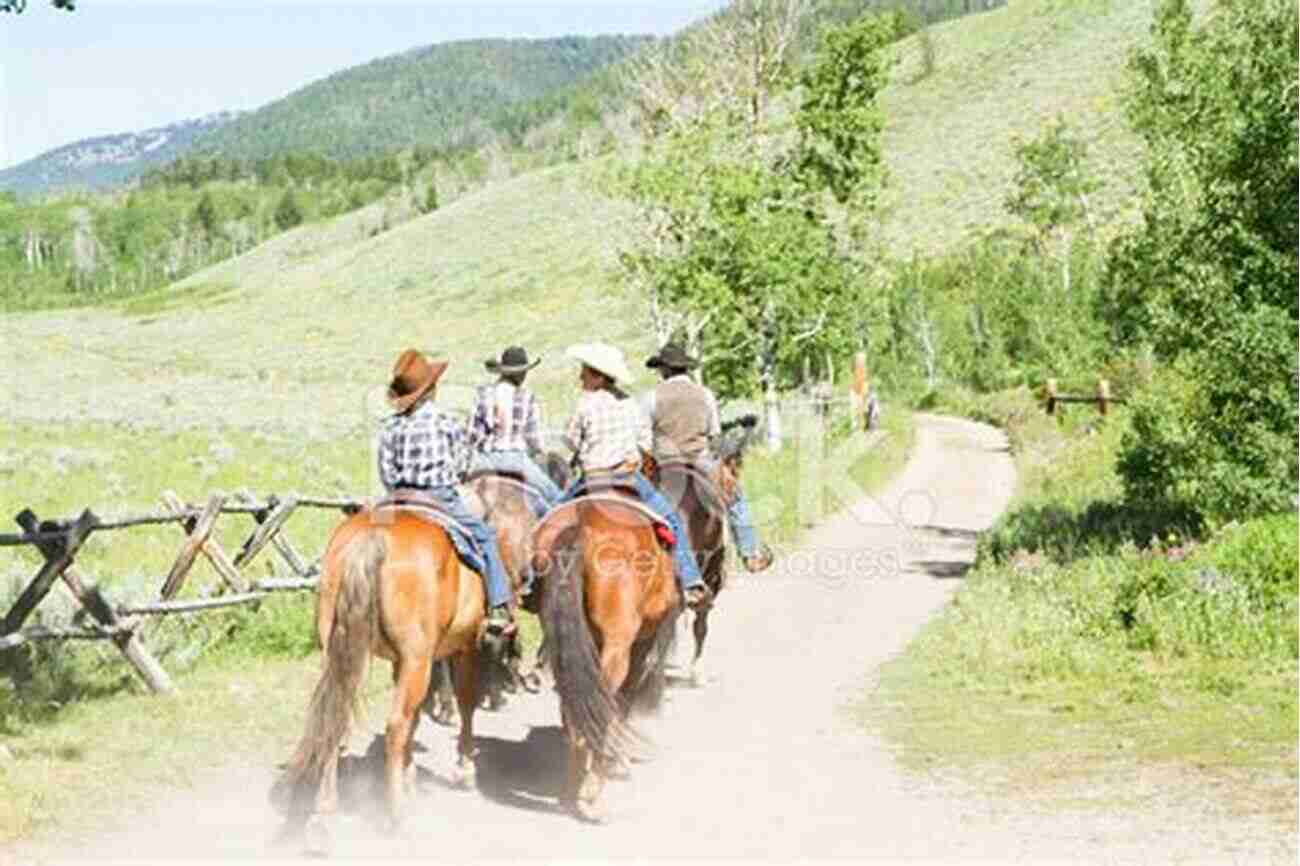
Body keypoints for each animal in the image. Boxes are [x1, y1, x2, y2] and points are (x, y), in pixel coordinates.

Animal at [274, 507, 496, 847]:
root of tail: (371, 537)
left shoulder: (402, 661)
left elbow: (418, 716)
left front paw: (410, 774)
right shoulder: (464, 647)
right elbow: (466, 702)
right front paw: (464, 769)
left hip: (340, 653)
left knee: (336, 717)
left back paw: (325, 811)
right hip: (416, 660)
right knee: (394, 726)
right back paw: (395, 815)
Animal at [533, 475, 686, 821]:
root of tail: (582, 527)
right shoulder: (642, 644)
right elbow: (623, 701)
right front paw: (621, 762)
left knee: (576, 705)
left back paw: (571, 790)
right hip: (618, 643)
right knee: (605, 696)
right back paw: (591, 793)